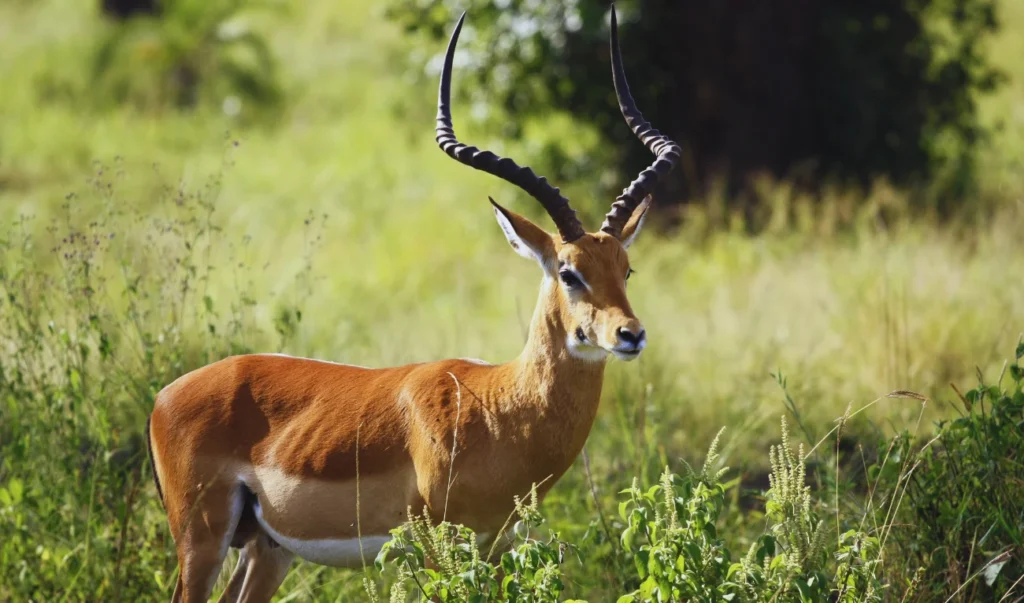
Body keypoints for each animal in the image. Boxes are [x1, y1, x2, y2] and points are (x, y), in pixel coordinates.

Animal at [146, 7, 679, 597]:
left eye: (625, 269)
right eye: (569, 272)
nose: (630, 334)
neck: (499, 406)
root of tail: (164, 396)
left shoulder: (497, 548)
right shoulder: (438, 549)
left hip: (267, 549)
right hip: (201, 540)